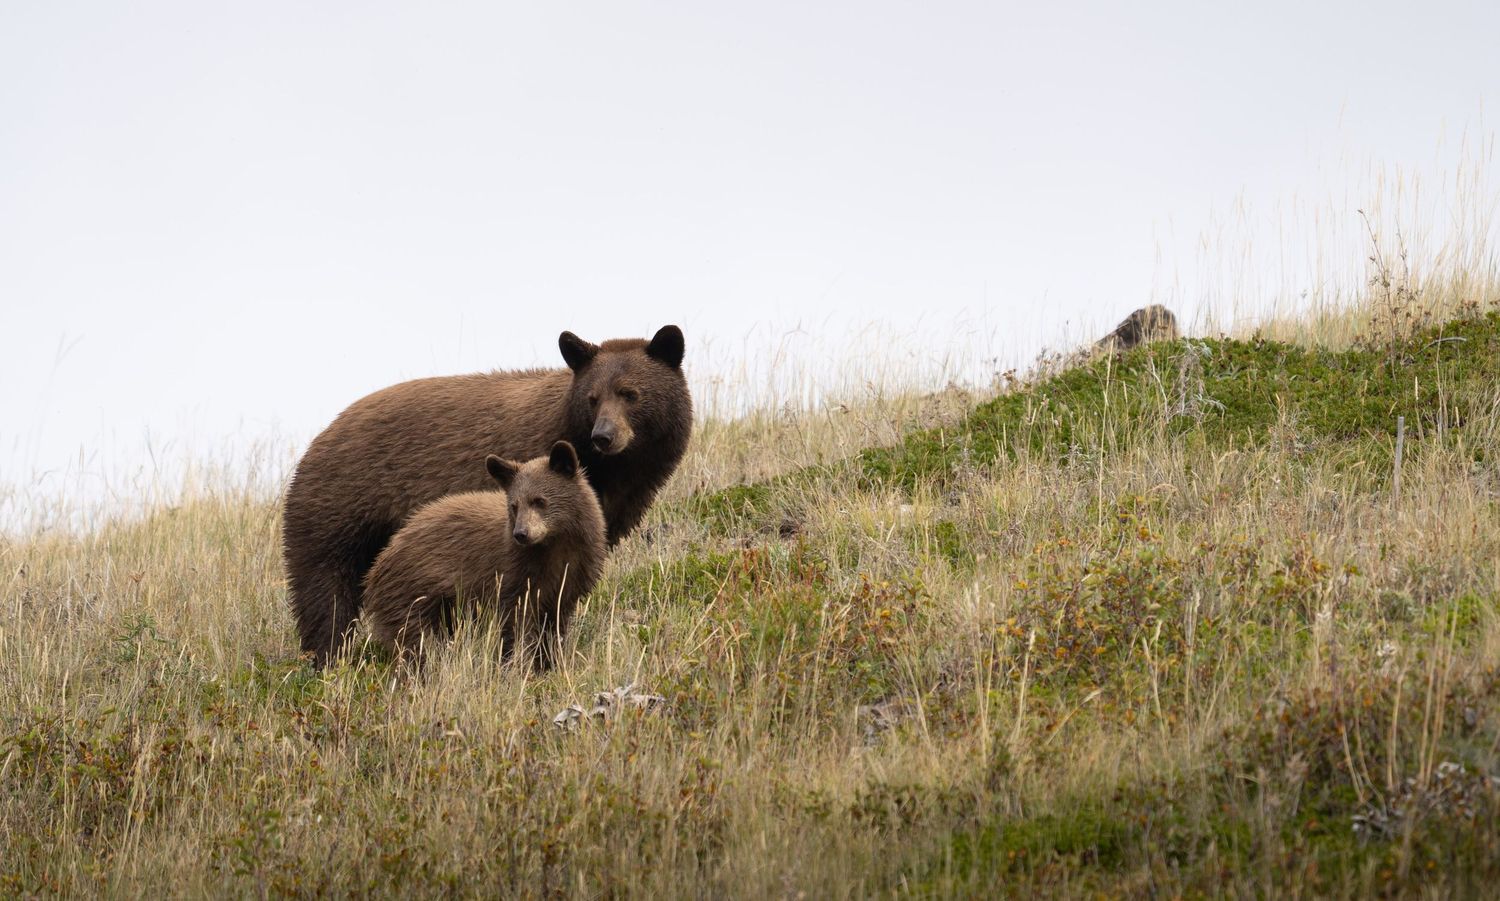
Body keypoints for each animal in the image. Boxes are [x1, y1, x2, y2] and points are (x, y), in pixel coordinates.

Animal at [361, 441, 606, 668]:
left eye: (539, 500)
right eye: (514, 505)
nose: (521, 534)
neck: (555, 545)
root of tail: (379, 563)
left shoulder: (572, 577)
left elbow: (555, 624)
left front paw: (551, 662)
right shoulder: (513, 575)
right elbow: (514, 623)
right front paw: (517, 663)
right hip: (410, 592)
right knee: (416, 640)